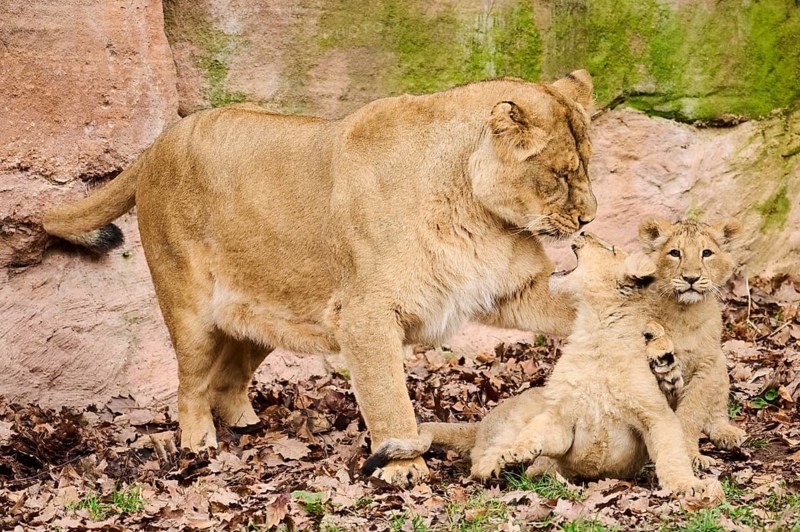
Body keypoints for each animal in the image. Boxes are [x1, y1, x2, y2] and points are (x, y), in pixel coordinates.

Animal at [43, 71, 597, 486]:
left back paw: (246, 424)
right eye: (561, 174)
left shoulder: (517, 288)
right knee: (191, 386)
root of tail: (158, 143)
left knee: (228, 376)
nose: (590, 218)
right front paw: (405, 469)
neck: (480, 212)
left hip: (268, 308)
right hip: (189, 306)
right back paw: (201, 445)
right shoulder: (366, 313)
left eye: (588, 166)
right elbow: (388, 395)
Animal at [364, 233, 723, 503]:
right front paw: (518, 452)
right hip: (521, 413)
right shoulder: (563, 415)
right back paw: (501, 465)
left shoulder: (654, 414)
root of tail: (479, 424)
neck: (595, 331)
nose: (584, 233)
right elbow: (540, 434)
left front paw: (688, 486)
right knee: (481, 458)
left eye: (610, 248)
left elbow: (671, 453)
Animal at [639, 217, 747, 468]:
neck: (685, 314)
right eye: (675, 253)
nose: (691, 278)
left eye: (706, 253)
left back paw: (728, 433)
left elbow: (692, 414)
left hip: (721, 365)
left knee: (715, 413)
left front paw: (691, 455)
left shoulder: (707, 367)